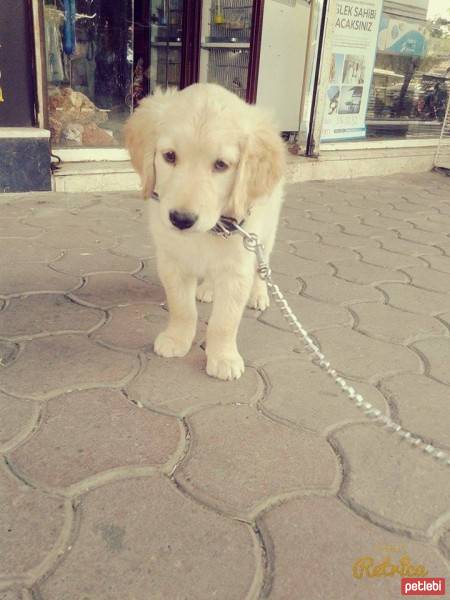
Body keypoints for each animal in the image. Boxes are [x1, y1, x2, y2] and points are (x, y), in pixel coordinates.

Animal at [125, 83, 284, 380]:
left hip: (267, 231)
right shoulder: (171, 261)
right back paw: (209, 288)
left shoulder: (236, 269)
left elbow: (225, 321)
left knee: (263, 266)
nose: (181, 219)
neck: (211, 230)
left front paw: (223, 357)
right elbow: (182, 308)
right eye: (169, 156)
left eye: (221, 165)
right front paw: (176, 339)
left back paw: (258, 294)